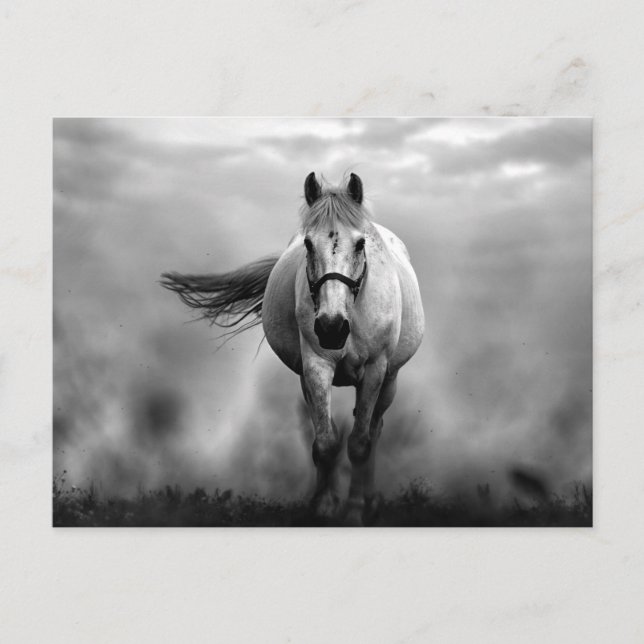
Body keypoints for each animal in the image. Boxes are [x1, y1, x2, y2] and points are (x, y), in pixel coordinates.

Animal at [161, 172, 424, 525]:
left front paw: (355, 512)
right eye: (308, 244)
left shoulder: (375, 370)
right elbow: (325, 443)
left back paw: (369, 502)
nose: (331, 327)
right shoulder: (315, 367)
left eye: (360, 243)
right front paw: (323, 507)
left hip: (389, 380)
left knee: (375, 430)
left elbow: (359, 444)